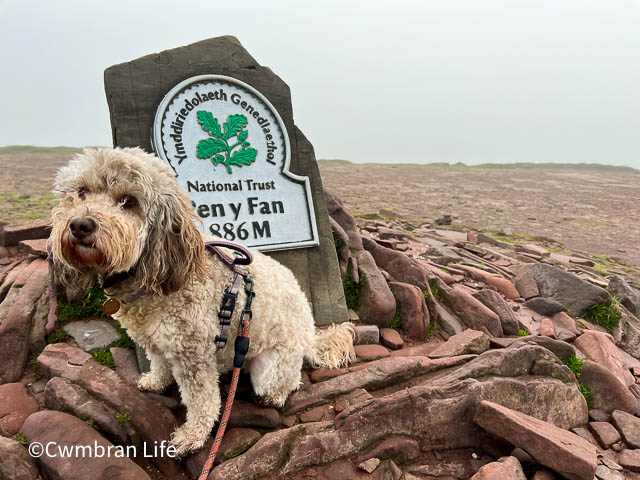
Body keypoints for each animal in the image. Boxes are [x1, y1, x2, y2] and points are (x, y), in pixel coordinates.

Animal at [48, 148, 360, 456]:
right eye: (82, 192)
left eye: (129, 201)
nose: (80, 225)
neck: (152, 275)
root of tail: (309, 335)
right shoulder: (156, 340)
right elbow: (159, 362)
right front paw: (156, 381)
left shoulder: (192, 353)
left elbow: (202, 400)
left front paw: (192, 435)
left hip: (271, 368)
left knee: (290, 380)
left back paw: (275, 396)